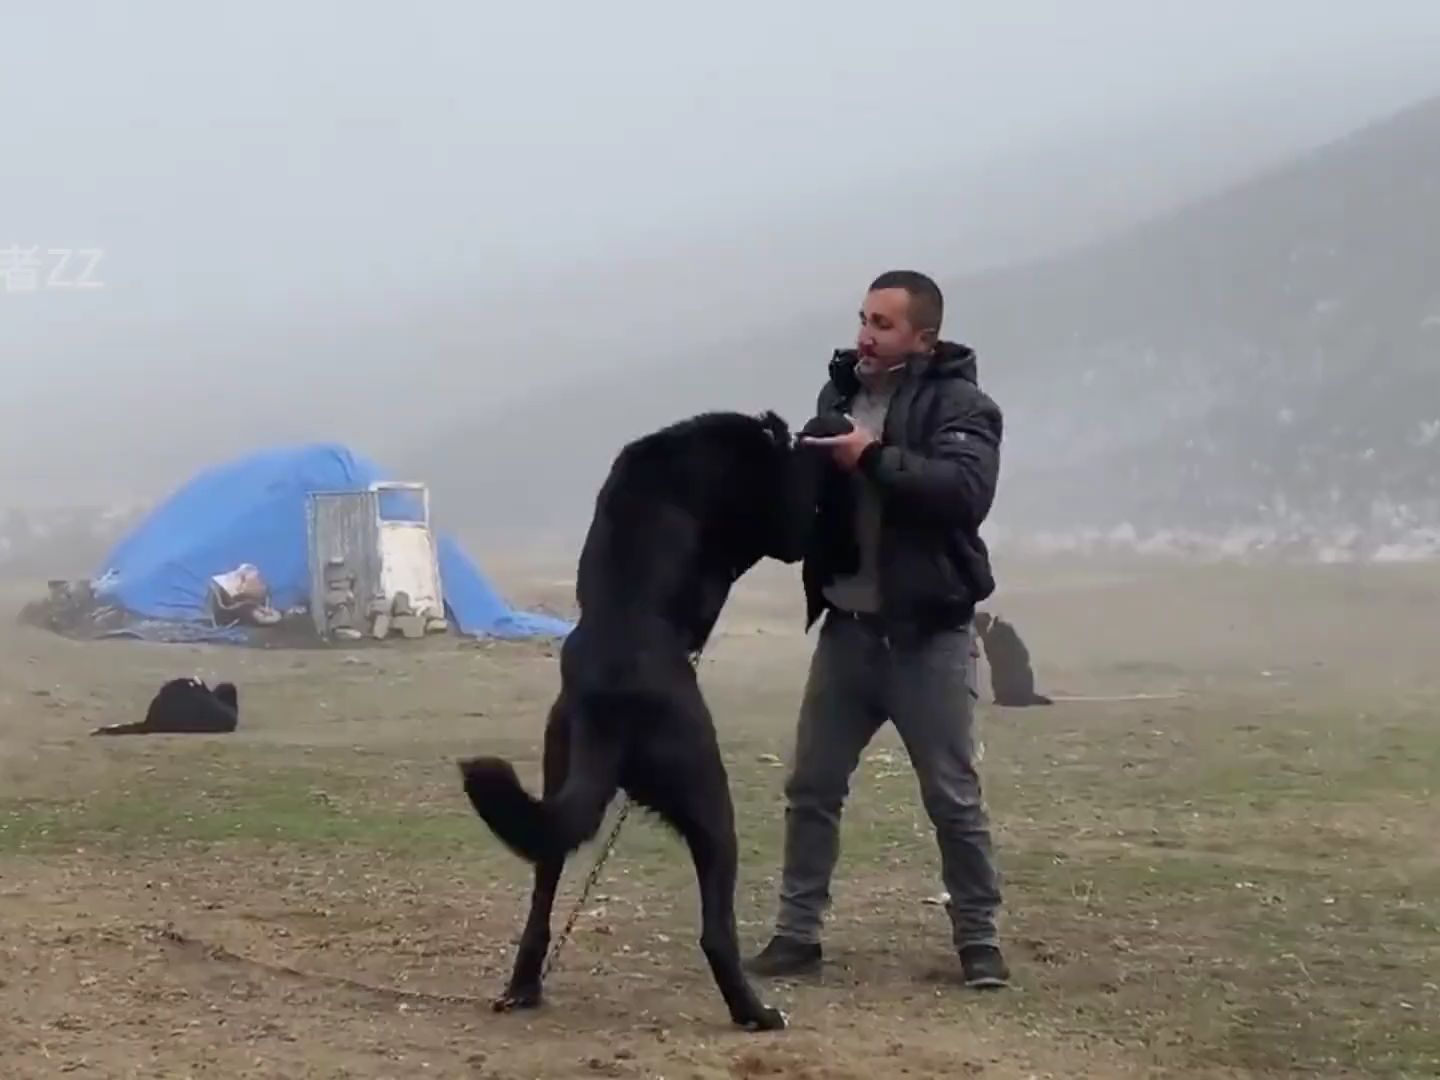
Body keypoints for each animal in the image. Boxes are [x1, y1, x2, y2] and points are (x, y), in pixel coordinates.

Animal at [455, 411, 829, 1031]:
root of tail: (609, 705)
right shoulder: (781, 527)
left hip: (557, 788)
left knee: (540, 900)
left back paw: (524, 986)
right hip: (711, 802)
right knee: (715, 933)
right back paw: (754, 1011)